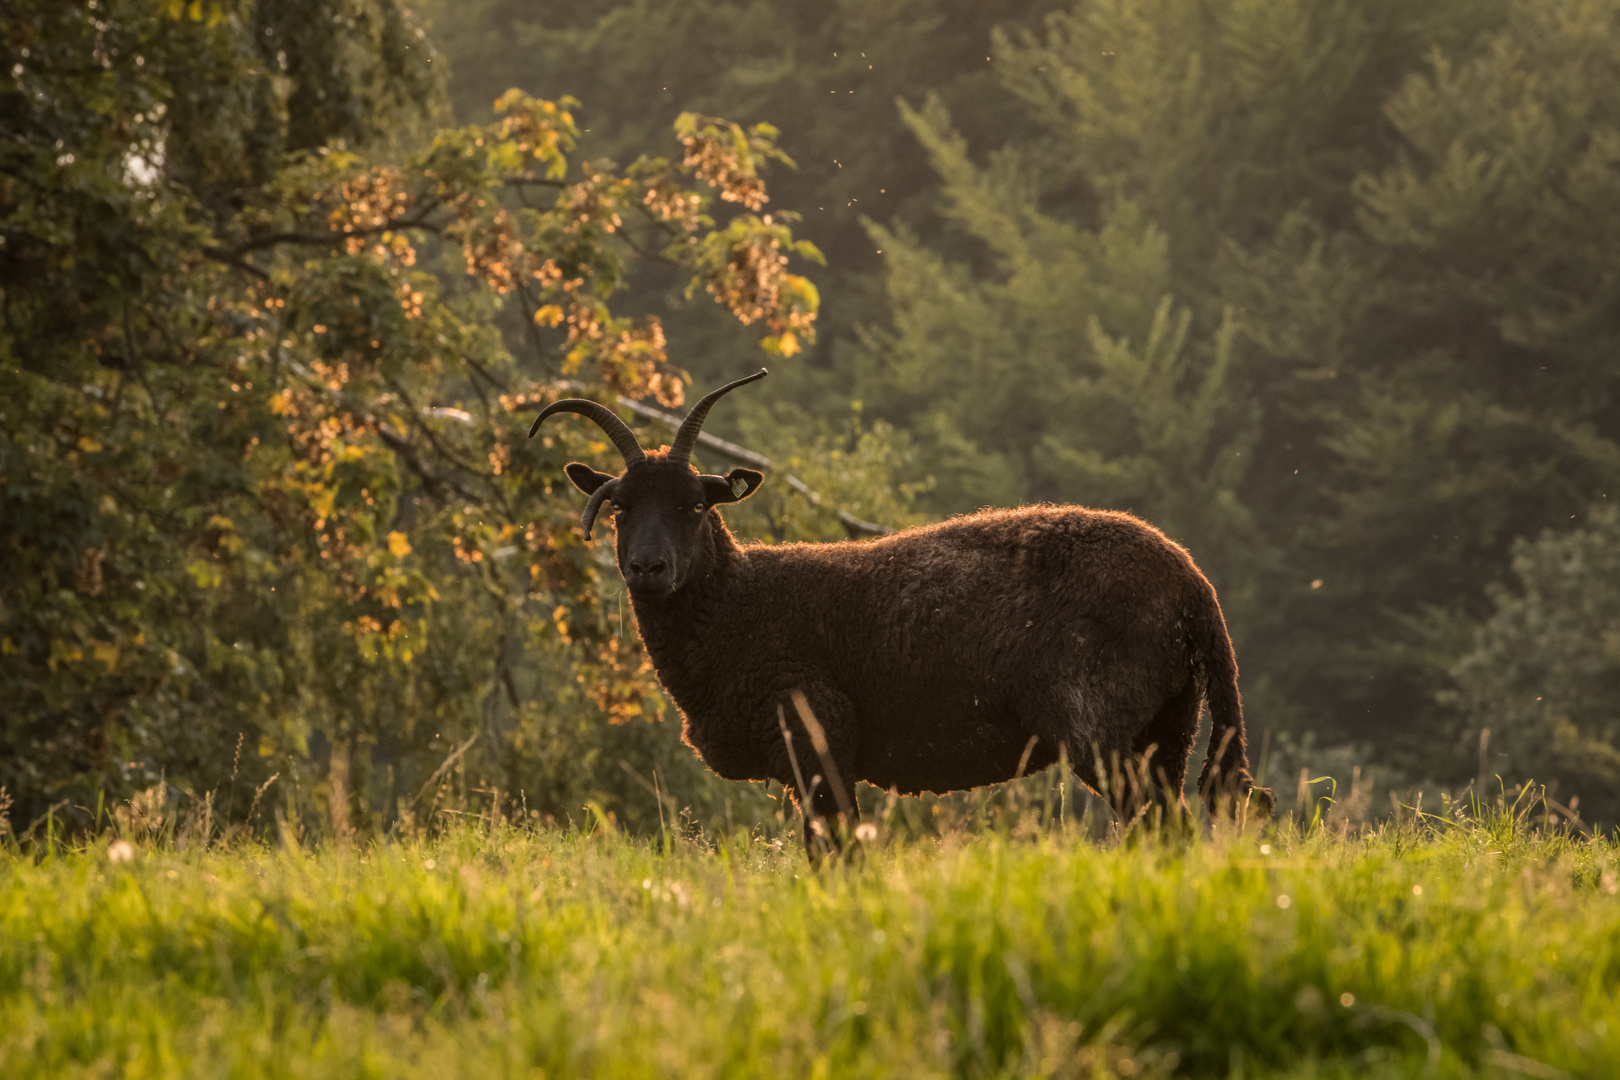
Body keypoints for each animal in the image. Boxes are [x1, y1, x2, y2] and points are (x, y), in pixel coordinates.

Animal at [537, 372, 1270, 854]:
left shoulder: (819, 738)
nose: (647, 569)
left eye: (695, 506)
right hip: (1168, 726)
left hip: (1106, 727)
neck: (737, 609)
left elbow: (837, 855)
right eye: (620, 508)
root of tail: (1192, 583)